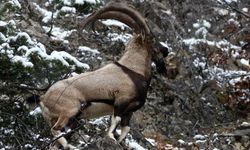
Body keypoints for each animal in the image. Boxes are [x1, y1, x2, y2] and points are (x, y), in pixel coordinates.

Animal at [31, 1, 168, 149]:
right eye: (153, 39)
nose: (166, 50)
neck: (133, 70)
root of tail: (44, 98)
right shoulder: (121, 102)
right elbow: (115, 120)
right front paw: (111, 138)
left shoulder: (129, 111)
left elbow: (126, 128)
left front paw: (120, 142)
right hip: (69, 111)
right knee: (55, 130)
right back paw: (70, 146)